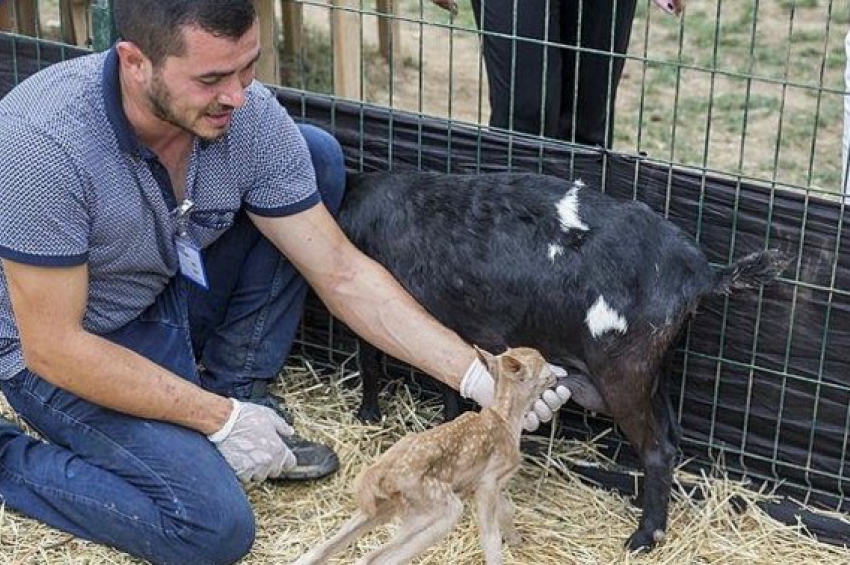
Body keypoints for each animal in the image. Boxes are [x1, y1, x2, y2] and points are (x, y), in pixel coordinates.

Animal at [292, 347, 556, 565]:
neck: (507, 420)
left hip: (386, 506)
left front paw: (516, 540)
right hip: (438, 506)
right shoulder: (489, 482)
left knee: (320, 550)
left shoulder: (481, 483)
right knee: (373, 558)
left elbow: (506, 510)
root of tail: (382, 472)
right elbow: (490, 537)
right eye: (543, 367)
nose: (557, 375)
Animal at [337, 171, 791, 551]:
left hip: (623, 369)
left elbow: (371, 359)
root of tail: (701, 273)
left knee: (657, 448)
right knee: (672, 435)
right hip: (656, 368)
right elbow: (451, 392)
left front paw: (368, 415)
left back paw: (642, 539)